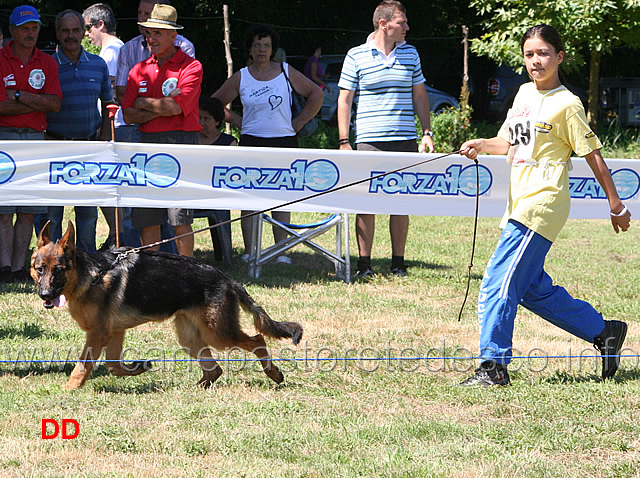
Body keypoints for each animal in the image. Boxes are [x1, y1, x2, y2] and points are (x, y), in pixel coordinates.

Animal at [28, 220, 302, 388]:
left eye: (59, 270)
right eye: (40, 269)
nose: (45, 294)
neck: (92, 275)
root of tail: (227, 280)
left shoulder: (98, 334)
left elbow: (83, 366)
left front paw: (69, 388)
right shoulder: (113, 332)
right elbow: (113, 366)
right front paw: (139, 367)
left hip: (219, 334)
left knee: (257, 340)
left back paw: (273, 373)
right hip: (191, 337)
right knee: (214, 369)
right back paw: (197, 388)